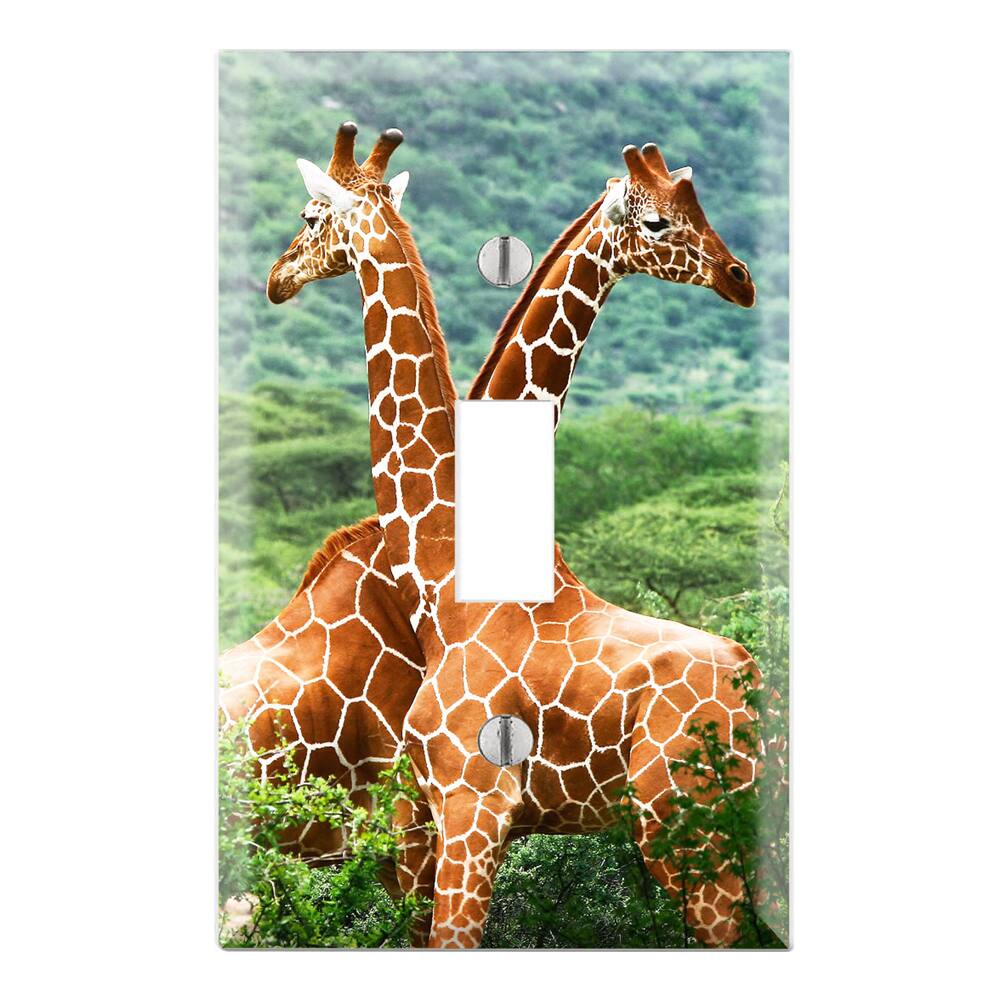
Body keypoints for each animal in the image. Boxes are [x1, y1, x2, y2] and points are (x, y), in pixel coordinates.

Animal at [223, 124, 760, 947]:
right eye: (660, 221)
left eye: (311, 216)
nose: (741, 278)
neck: (438, 578)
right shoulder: (435, 816)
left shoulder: (458, 810)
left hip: (689, 832)